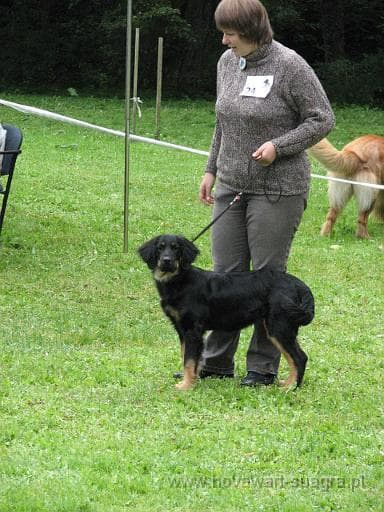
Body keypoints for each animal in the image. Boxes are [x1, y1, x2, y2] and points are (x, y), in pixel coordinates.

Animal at [138, 234, 316, 390]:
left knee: (300, 357)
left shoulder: (193, 330)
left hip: (279, 326)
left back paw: (292, 388)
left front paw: (186, 386)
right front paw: (190, 380)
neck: (180, 280)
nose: (166, 261)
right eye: (160, 248)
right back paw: (287, 383)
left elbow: (189, 361)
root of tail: (297, 284)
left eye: (176, 248)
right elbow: (186, 358)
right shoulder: (182, 330)